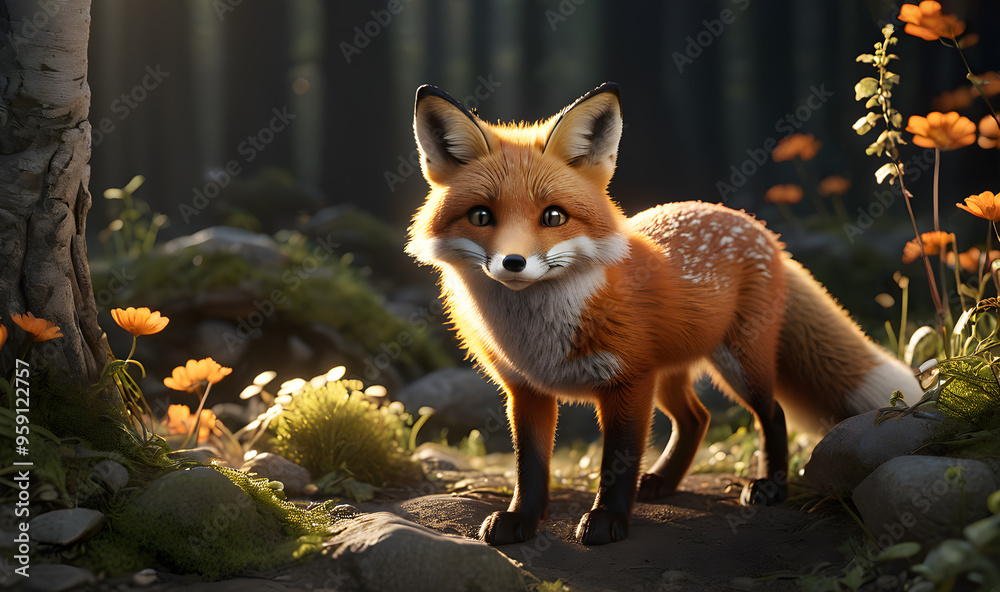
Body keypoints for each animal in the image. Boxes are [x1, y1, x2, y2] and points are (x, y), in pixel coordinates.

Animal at [405, 82, 923, 546]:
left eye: (553, 217)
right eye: (481, 216)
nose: (513, 263)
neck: (537, 333)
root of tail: (757, 226)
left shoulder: (628, 381)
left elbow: (617, 461)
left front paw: (607, 522)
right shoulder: (527, 390)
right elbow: (529, 467)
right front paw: (521, 521)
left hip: (737, 364)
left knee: (772, 413)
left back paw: (768, 486)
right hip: (671, 373)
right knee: (696, 418)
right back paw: (663, 482)